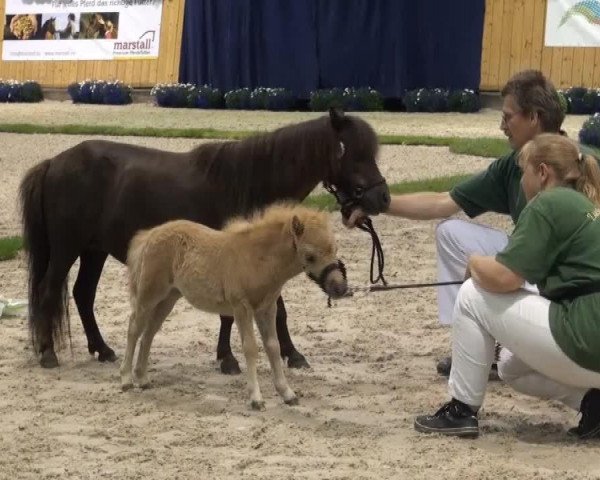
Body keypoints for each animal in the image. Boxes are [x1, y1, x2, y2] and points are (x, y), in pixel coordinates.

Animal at [18, 108, 392, 372]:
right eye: (352, 153)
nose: (383, 198)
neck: (251, 184)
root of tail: (54, 162)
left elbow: (276, 311)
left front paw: (291, 354)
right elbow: (237, 313)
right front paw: (229, 359)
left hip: (94, 251)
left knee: (83, 294)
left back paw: (103, 349)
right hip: (67, 249)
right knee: (50, 290)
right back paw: (48, 354)